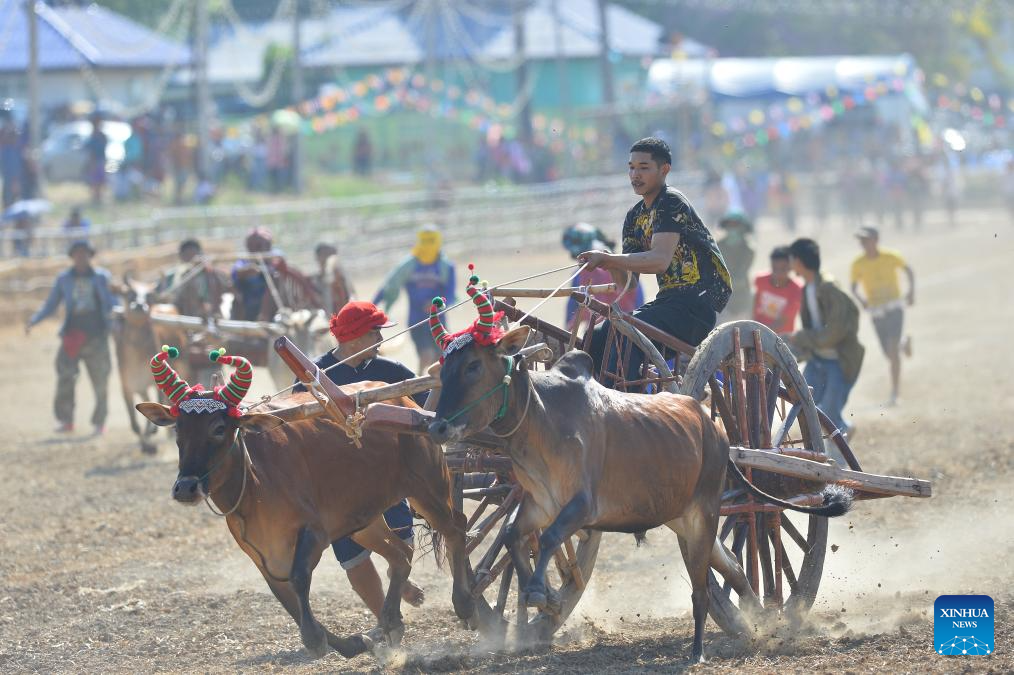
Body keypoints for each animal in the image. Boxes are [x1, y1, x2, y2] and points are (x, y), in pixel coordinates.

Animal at [135, 347, 475, 658]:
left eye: (219, 428)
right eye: (178, 428)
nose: (186, 488)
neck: (254, 485)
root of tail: (405, 404)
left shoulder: (314, 532)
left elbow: (300, 580)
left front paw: (314, 639)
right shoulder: (261, 556)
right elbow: (289, 603)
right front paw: (349, 644)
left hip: (429, 489)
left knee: (456, 531)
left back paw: (466, 604)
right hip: (362, 521)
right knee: (401, 555)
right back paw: (390, 620)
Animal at [425, 277, 852, 662]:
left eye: (474, 365)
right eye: (443, 368)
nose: (438, 427)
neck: (543, 417)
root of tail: (717, 431)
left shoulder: (582, 505)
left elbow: (547, 539)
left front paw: (535, 592)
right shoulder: (539, 502)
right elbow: (514, 535)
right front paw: (541, 594)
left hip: (708, 511)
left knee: (722, 567)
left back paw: (723, 636)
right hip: (684, 517)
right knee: (730, 567)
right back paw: (757, 618)